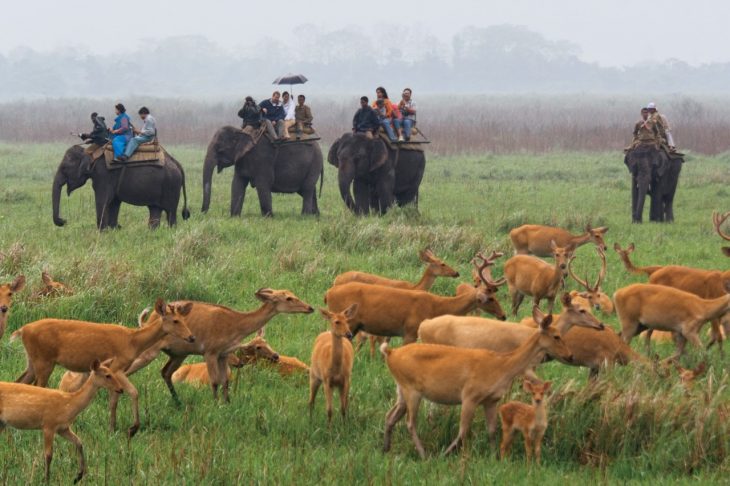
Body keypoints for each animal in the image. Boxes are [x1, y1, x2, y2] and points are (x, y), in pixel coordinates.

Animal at [12, 298, 193, 438]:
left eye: (185, 320)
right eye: (175, 321)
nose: (191, 337)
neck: (133, 342)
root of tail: (22, 330)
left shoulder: (116, 371)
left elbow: (114, 400)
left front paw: (112, 429)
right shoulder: (117, 366)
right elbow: (133, 392)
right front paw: (133, 428)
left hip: (32, 361)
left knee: (20, 382)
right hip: (44, 361)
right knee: (38, 387)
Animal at [53, 144, 191, 230]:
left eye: (65, 168)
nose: (63, 221)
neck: (91, 152)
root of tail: (178, 164)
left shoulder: (104, 175)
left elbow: (103, 201)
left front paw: (102, 232)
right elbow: (114, 202)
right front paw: (113, 229)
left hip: (171, 186)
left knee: (170, 213)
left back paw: (170, 230)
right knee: (155, 210)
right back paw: (152, 232)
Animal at [126, 288, 314, 402]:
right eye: (289, 298)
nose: (310, 307)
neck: (236, 325)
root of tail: (148, 320)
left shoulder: (223, 354)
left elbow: (225, 381)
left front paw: (227, 403)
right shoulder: (210, 351)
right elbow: (215, 381)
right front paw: (215, 404)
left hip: (179, 354)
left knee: (165, 373)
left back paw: (177, 402)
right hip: (150, 351)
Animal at [324, 256, 506, 344]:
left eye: (496, 296)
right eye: (490, 298)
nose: (504, 316)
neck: (437, 307)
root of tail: (328, 292)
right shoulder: (410, 330)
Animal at [378, 312, 572, 460]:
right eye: (556, 336)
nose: (570, 355)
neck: (502, 367)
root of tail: (390, 353)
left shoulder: (491, 400)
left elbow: (492, 430)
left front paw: (494, 457)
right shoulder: (469, 395)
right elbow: (463, 430)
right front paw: (451, 455)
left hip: (401, 387)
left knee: (390, 416)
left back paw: (386, 448)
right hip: (411, 389)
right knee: (410, 423)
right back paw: (424, 454)